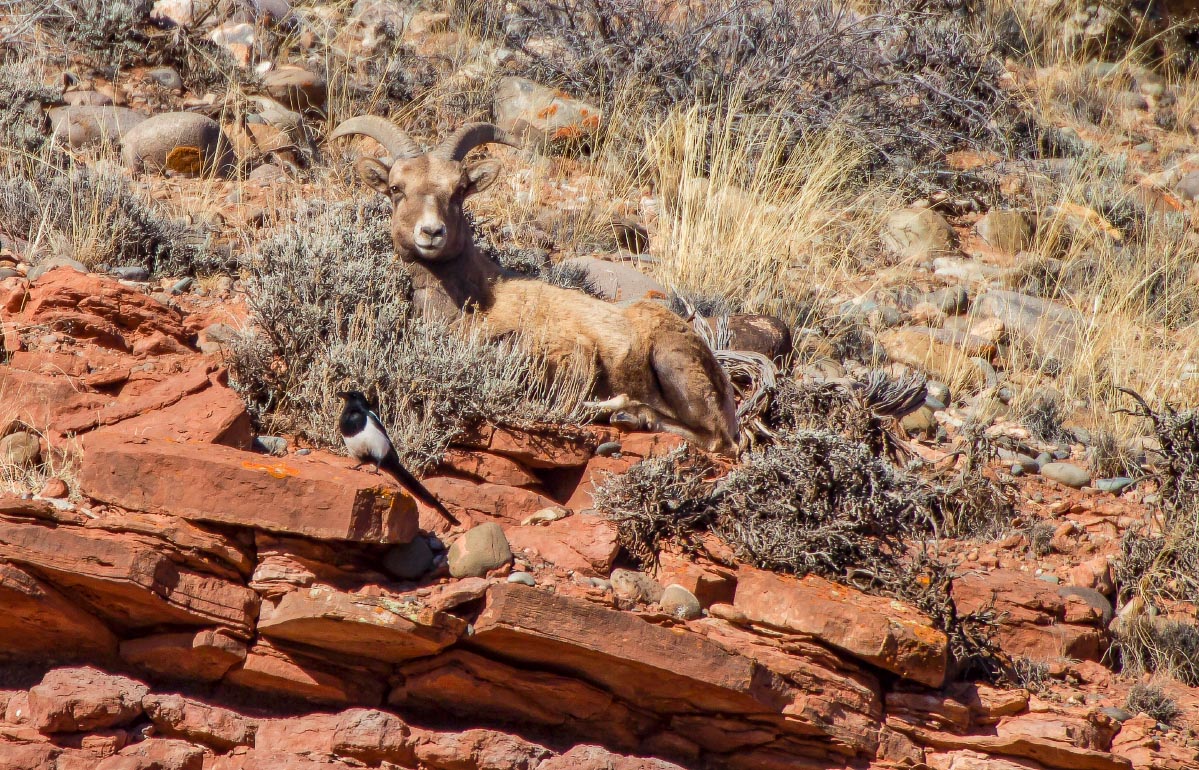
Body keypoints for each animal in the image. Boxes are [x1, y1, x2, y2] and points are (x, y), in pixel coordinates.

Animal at [330, 113, 738, 450]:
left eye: (459, 190)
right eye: (396, 188)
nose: (432, 232)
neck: (476, 298)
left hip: (673, 366)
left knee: (714, 438)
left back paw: (626, 413)